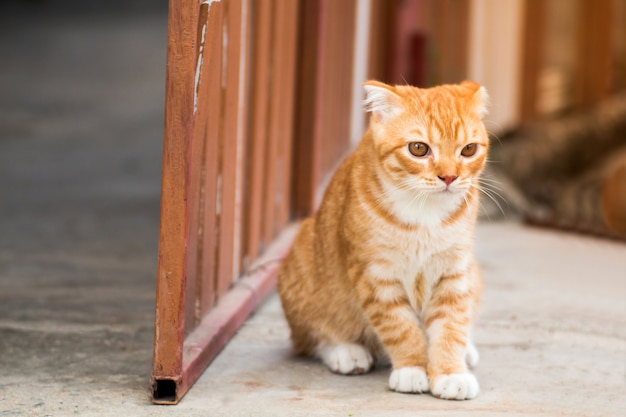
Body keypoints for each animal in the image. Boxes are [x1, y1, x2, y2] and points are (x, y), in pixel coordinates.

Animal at [278, 79, 488, 400]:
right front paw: (411, 368)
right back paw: (345, 350)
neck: (424, 214)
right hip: (302, 263)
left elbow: (451, 324)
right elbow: (400, 326)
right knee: (311, 337)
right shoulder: (375, 275)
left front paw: (451, 372)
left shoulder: (455, 271)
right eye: (418, 148)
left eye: (468, 150)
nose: (449, 177)